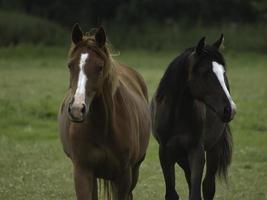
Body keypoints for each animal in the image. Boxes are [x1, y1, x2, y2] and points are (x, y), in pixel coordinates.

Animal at [58, 24, 151, 199]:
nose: (77, 109)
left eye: (99, 67)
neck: (103, 128)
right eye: (70, 65)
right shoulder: (83, 172)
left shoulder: (124, 176)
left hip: (134, 170)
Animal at [152, 35, 238, 199]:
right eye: (205, 72)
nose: (230, 109)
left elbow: (196, 193)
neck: (176, 117)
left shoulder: (196, 152)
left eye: (223, 73)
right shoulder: (165, 153)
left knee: (208, 185)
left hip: (213, 148)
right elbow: (172, 193)